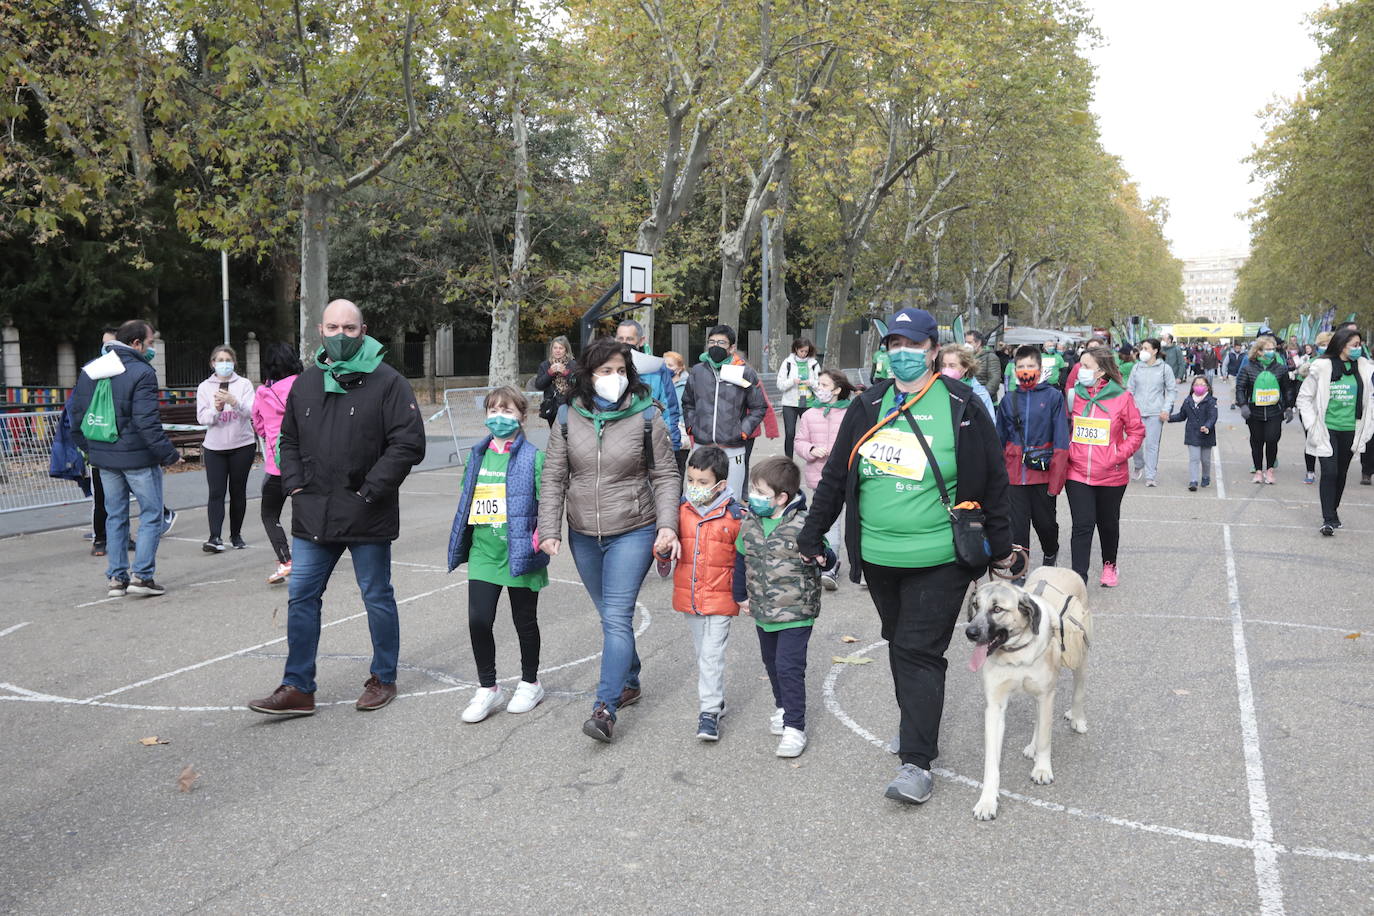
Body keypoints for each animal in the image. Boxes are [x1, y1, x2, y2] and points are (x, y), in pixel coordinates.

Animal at [967, 565, 1093, 823]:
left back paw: (1077, 718)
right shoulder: (995, 707)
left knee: (1078, 690)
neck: (1015, 652)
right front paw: (987, 800)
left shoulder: (1046, 695)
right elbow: (991, 762)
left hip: (1080, 656)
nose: (970, 632)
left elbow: (1046, 737)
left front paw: (1042, 769)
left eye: (997, 609)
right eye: (975, 605)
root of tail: (1059, 567)